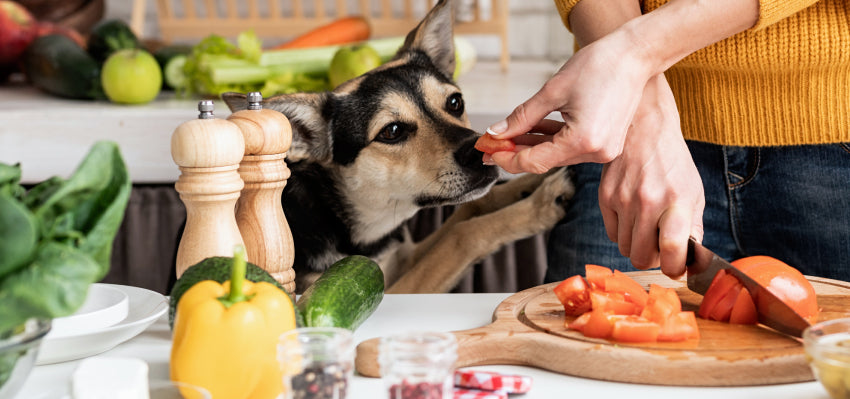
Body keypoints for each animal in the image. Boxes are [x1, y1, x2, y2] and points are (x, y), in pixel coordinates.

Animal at [222, 0, 572, 294]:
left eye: (455, 102)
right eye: (392, 132)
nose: (478, 151)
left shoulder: (403, 256)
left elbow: (471, 208)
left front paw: (531, 182)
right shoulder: (385, 290)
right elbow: (461, 236)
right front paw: (539, 205)